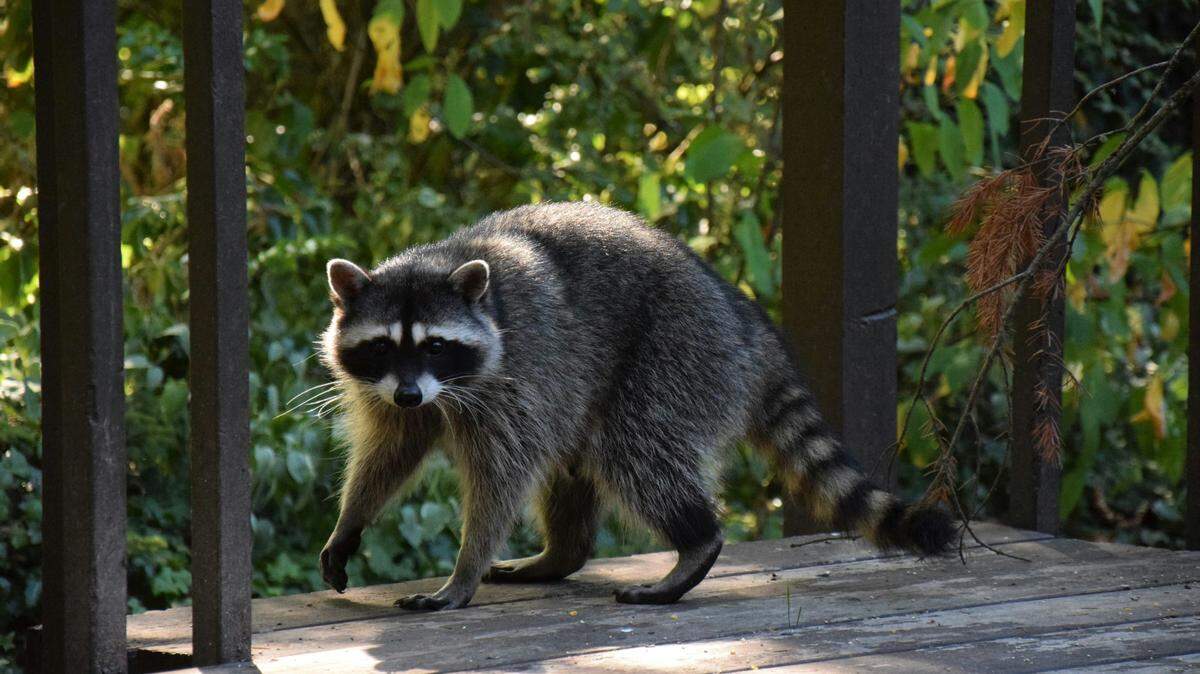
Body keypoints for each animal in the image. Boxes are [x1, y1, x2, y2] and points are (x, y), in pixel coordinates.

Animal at [316, 202, 954, 610]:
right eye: (381, 346)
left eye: (435, 345)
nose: (409, 393)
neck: (446, 258)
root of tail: (746, 323)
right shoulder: (399, 391)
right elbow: (391, 452)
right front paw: (351, 521)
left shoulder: (516, 376)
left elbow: (501, 476)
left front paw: (463, 570)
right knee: (577, 462)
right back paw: (562, 554)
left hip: (677, 354)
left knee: (634, 451)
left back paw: (696, 542)